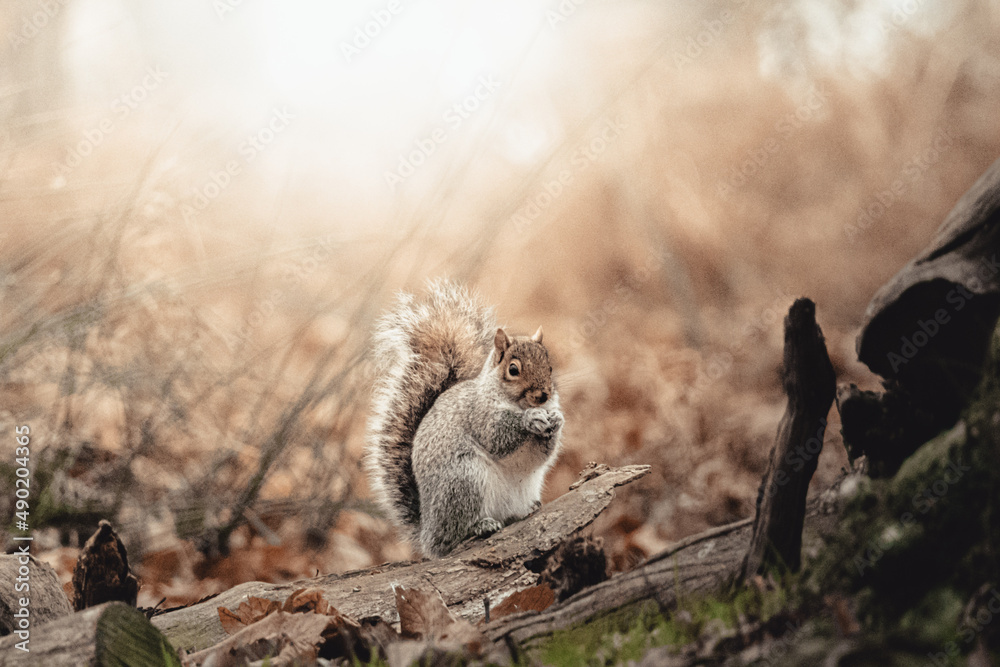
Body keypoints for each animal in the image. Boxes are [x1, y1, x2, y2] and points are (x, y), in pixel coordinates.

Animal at [368, 280, 568, 556]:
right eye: (513, 369)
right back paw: (480, 526)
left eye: (549, 366)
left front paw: (556, 419)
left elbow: (541, 455)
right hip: (464, 480)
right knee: (454, 536)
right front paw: (531, 419)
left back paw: (524, 510)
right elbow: (497, 436)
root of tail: (427, 532)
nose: (543, 395)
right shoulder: (479, 414)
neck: (516, 402)